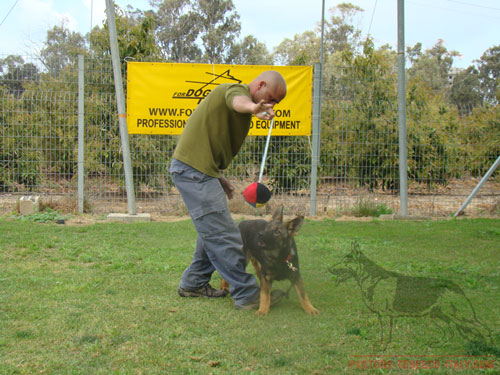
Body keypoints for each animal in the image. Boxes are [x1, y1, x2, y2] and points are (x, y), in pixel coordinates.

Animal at [330, 242, 490, 348]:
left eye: (345, 261)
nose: (328, 268)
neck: (372, 278)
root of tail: (455, 285)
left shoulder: (385, 315)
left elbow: (385, 332)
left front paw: (383, 345)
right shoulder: (384, 315)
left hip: (459, 316)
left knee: (482, 327)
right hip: (436, 317)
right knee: (450, 332)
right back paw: (438, 344)